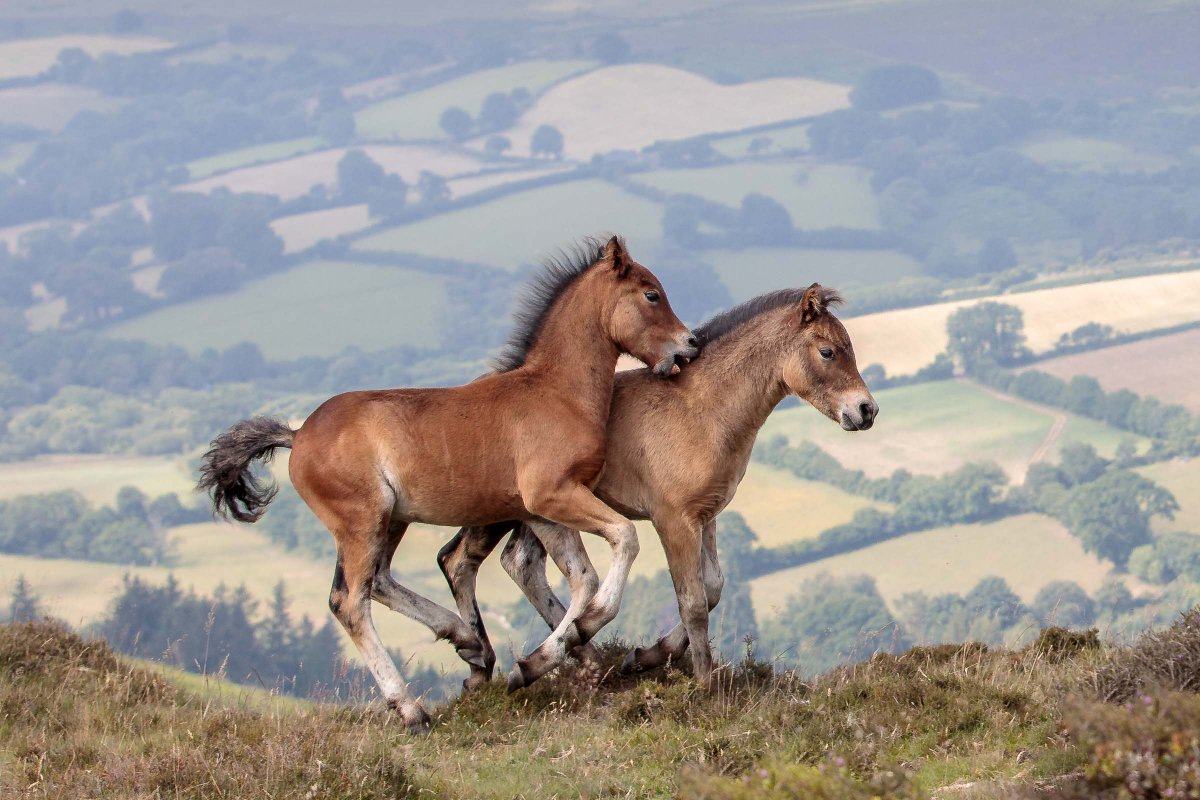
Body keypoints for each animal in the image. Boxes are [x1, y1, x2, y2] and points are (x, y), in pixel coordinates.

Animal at [197, 237, 700, 732]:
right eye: (651, 295)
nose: (689, 345)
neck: (557, 392)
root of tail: (296, 435)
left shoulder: (541, 510)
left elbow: (581, 577)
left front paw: (547, 657)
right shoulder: (554, 495)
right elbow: (624, 540)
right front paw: (576, 638)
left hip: (391, 519)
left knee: (379, 581)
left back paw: (468, 643)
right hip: (360, 520)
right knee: (350, 601)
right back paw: (412, 709)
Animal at [436, 284, 877, 691]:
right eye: (828, 352)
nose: (866, 410)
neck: (703, 408)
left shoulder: (706, 516)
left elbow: (712, 589)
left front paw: (646, 657)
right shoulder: (673, 520)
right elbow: (693, 601)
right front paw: (704, 686)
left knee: (518, 563)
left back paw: (553, 661)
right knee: (459, 561)